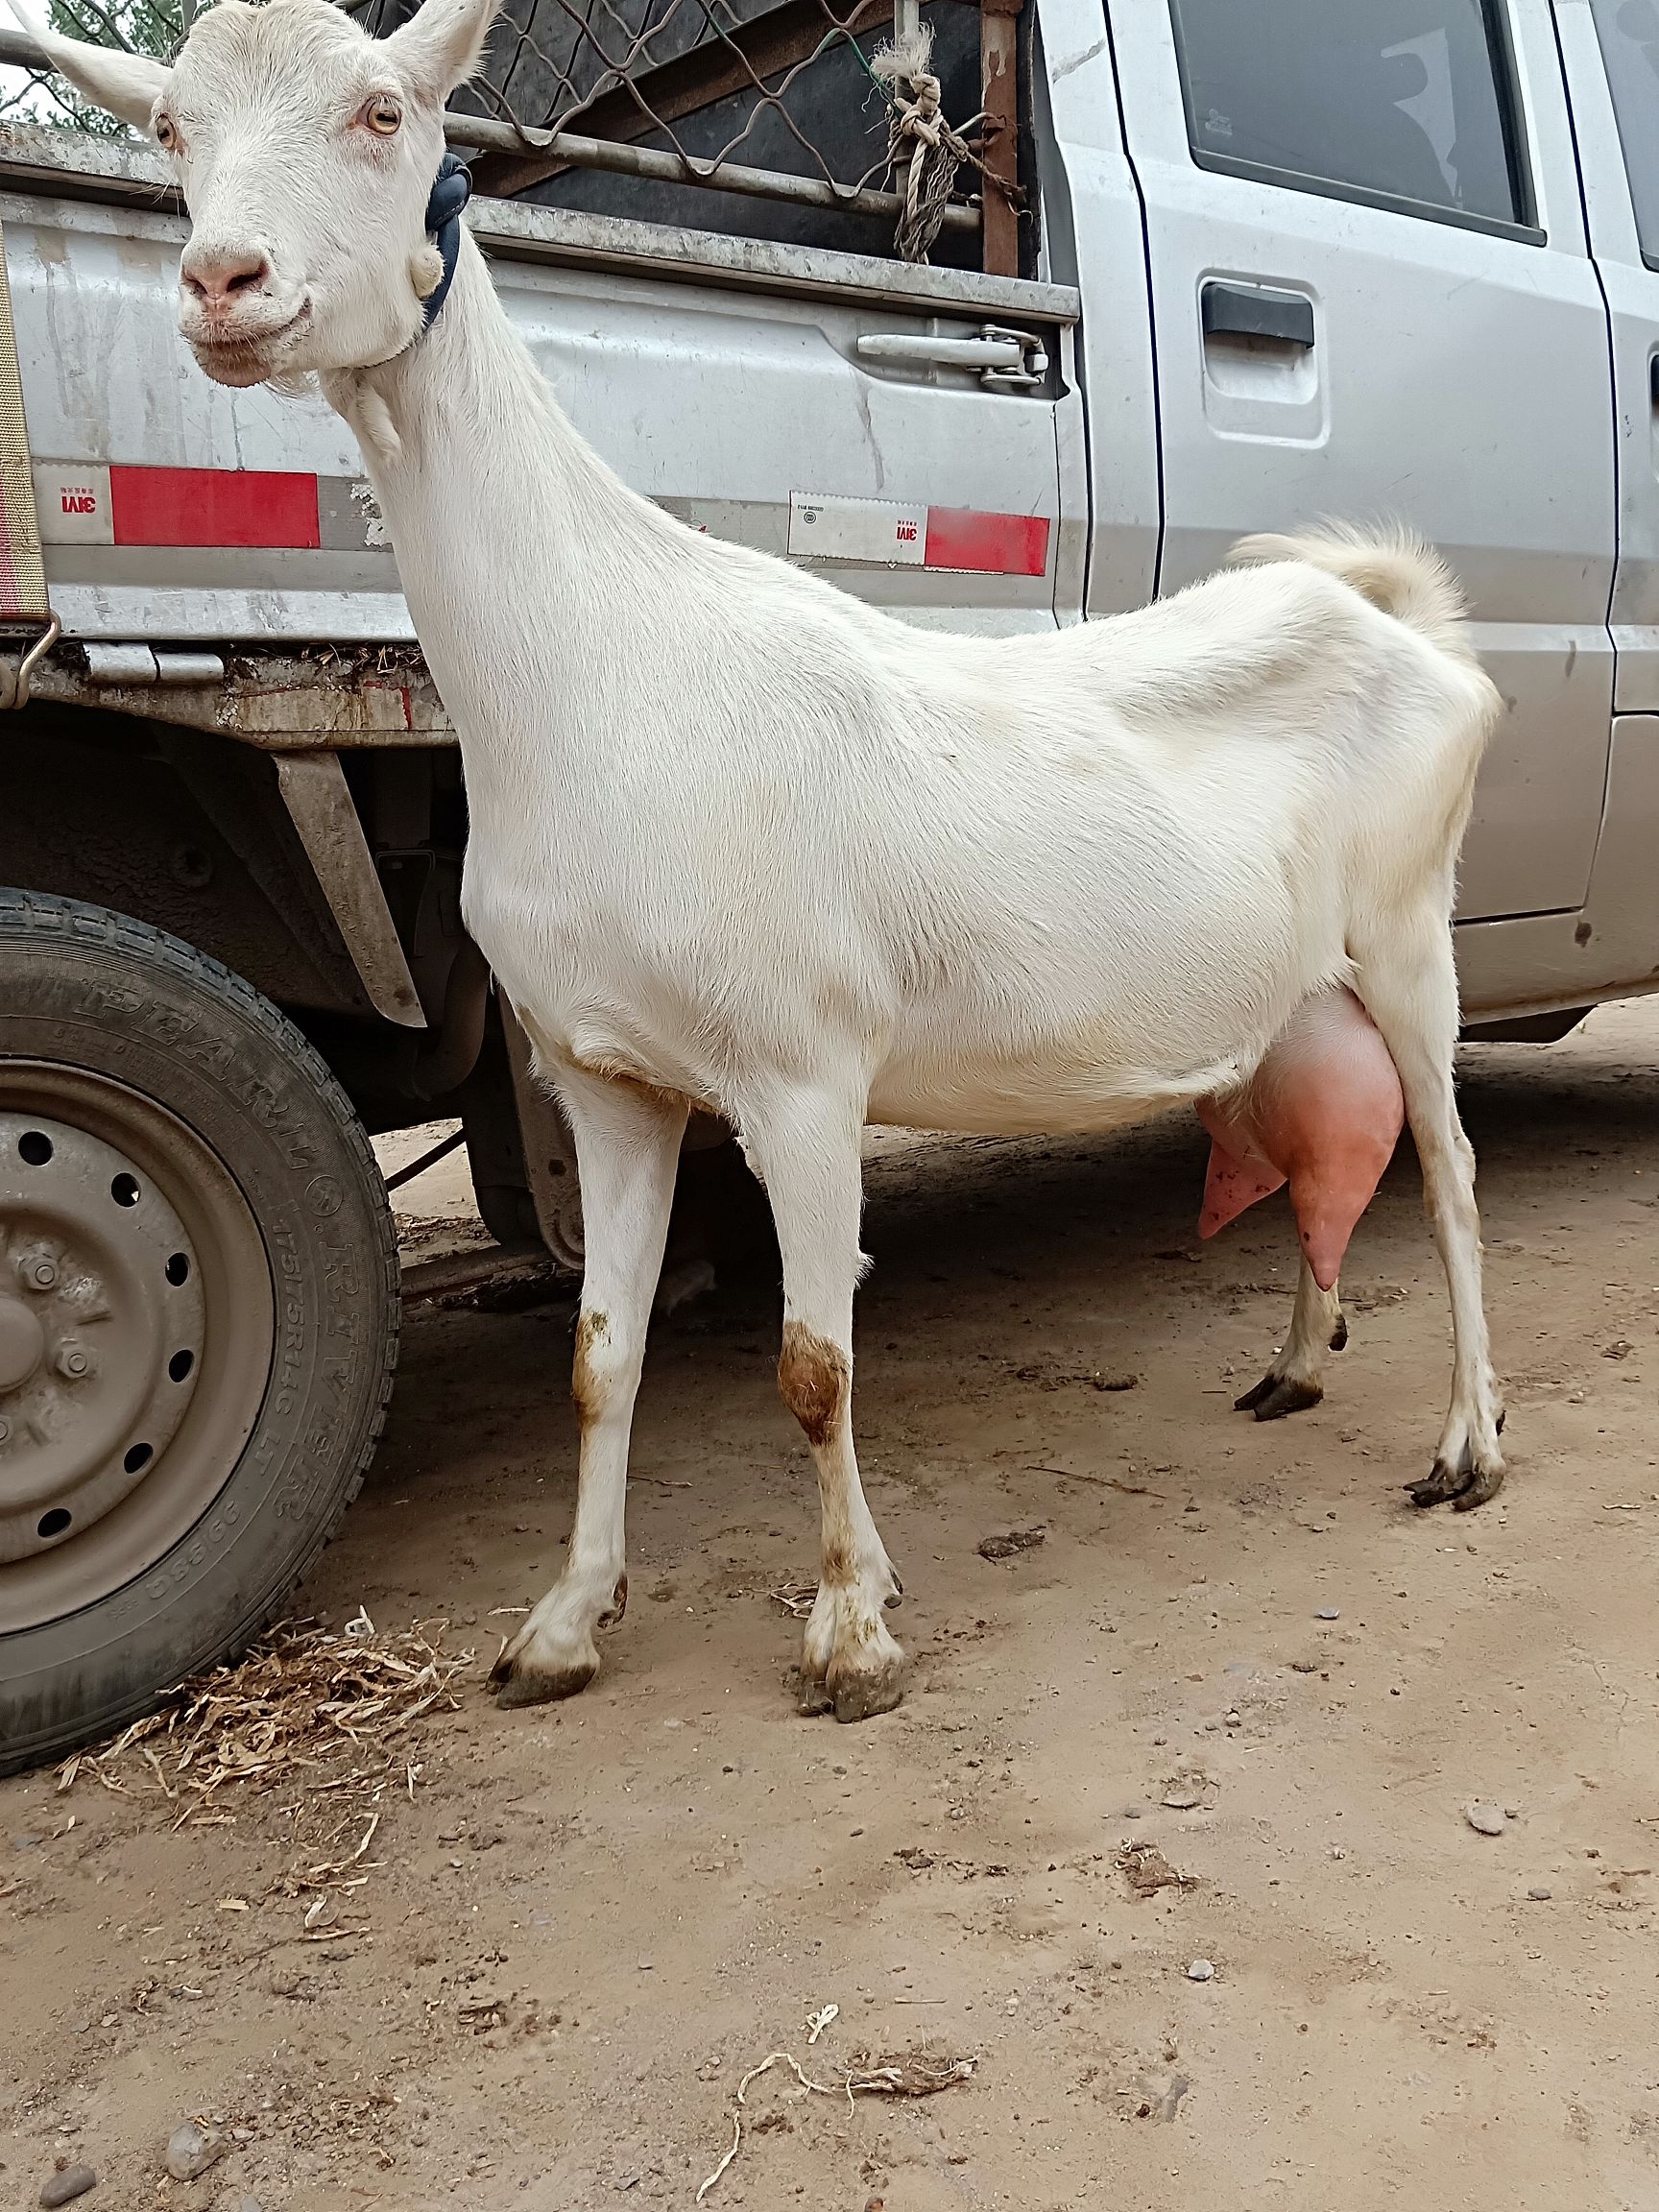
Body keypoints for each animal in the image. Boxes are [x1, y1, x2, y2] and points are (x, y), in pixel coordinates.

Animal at [38, 0, 1512, 1725]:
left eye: (383, 111)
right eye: (170, 132)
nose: (223, 285)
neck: (604, 670)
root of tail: (1400, 625)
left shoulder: (803, 1070)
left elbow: (815, 1363)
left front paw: (853, 1633)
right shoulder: (606, 1073)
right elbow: (599, 1353)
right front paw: (562, 1622)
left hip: (1409, 930)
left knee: (1450, 1169)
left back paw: (1469, 1444)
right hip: (1294, 987)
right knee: (1314, 1150)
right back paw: (1291, 1361)